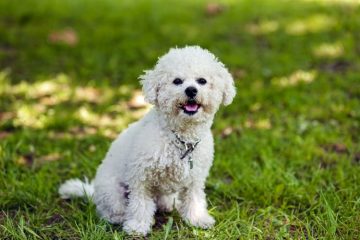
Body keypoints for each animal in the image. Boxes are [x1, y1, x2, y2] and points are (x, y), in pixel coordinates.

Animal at [59, 46, 236, 235]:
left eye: (202, 81)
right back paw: (118, 217)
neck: (180, 138)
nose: (191, 90)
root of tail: (93, 192)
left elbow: (194, 199)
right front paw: (137, 226)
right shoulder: (140, 177)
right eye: (177, 81)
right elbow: (140, 204)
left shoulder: (195, 179)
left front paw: (198, 219)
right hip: (112, 191)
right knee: (110, 209)